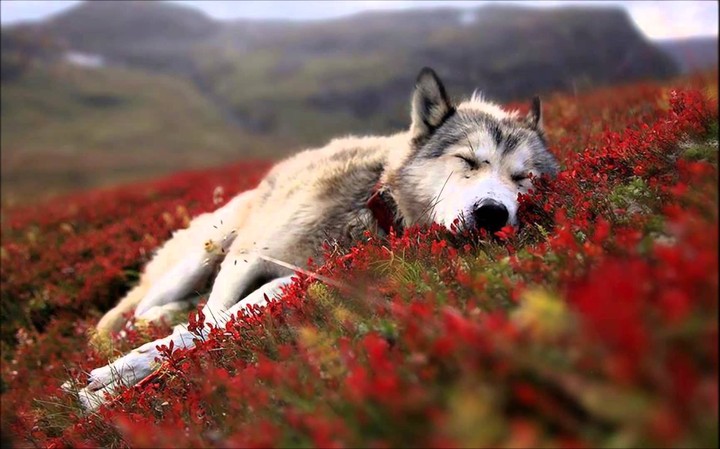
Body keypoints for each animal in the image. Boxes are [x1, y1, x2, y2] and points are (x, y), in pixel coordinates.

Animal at [70, 67, 558, 409]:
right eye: (467, 161)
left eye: (523, 178)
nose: (492, 214)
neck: (372, 207)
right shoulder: (246, 258)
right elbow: (208, 321)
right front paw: (118, 375)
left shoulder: (298, 278)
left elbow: (214, 326)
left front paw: (118, 381)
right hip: (207, 252)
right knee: (140, 308)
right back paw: (139, 325)